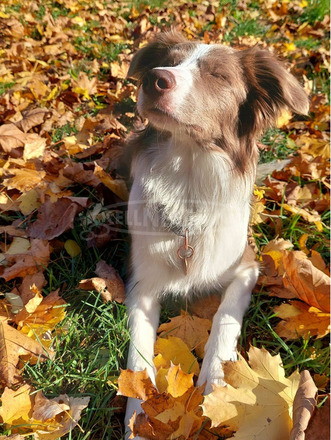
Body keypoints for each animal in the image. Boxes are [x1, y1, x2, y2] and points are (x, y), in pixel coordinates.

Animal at [123, 31, 310, 440]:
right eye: (167, 62)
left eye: (218, 75)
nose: (155, 79)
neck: (190, 177)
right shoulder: (141, 283)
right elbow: (139, 353)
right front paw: (139, 414)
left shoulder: (247, 266)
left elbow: (226, 315)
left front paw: (216, 382)